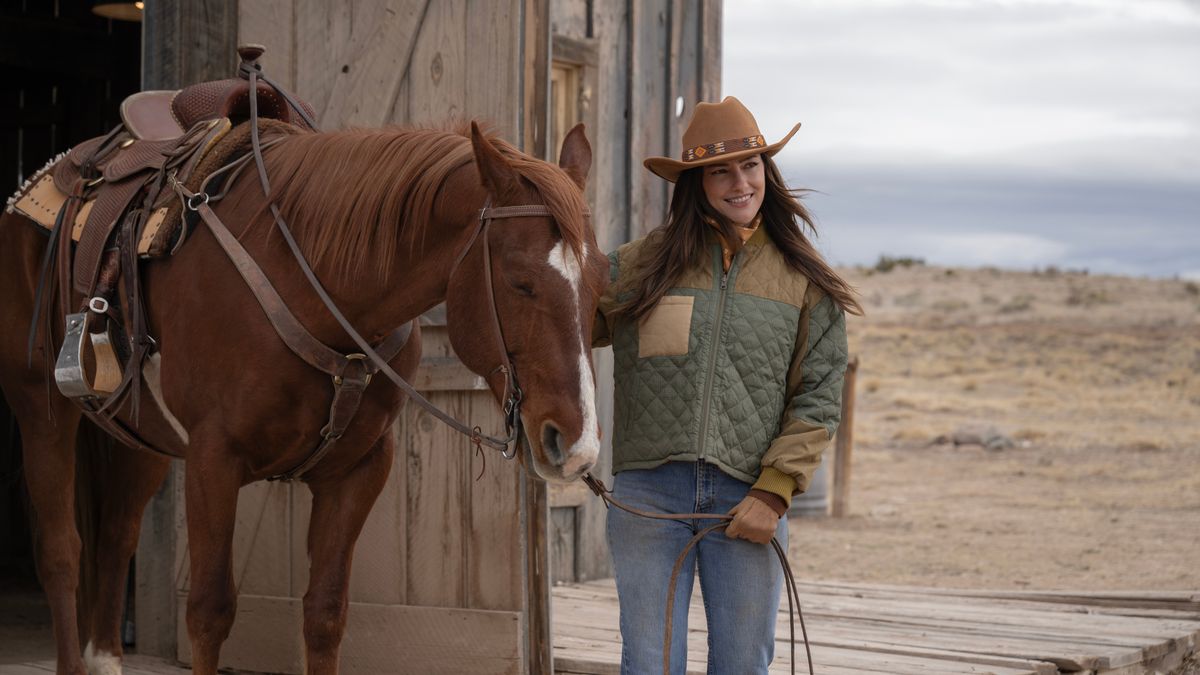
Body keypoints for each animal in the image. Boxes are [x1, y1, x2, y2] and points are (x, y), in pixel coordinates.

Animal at [0, 118, 609, 667]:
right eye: (519, 282)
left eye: (599, 282)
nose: (574, 444)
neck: (313, 285)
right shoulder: (213, 460)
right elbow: (209, 611)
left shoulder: (359, 469)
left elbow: (325, 613)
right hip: (41, 410)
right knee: (60, 551)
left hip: (140, 436)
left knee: (115, 537)